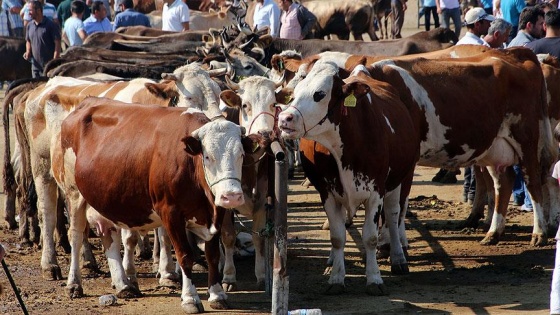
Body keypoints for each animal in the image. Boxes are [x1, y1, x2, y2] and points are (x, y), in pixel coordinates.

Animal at [278, 60, 418, 296]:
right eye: (294, 94)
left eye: (319, 94)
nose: (284, 118)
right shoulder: (328, 193)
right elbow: (337, 237)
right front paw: (336, 278)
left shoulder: (376, 192)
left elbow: (371, 237)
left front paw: (374, 279)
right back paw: (332, 260)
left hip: (399, 180)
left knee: (393, 215)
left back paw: (398, 258)